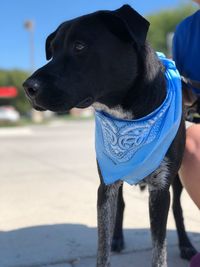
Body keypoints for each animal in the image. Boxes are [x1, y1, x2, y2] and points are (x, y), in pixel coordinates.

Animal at [23, 4, 197, 267]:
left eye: (79, 46)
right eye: (52, 51)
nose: (27, 88)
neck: (128, 117)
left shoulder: (160, 188)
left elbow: (159, 250)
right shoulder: (106, 185)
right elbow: (102, 246)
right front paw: (110, 242)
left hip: (175, 180)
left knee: (177, 208)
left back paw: (186, 245)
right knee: (121, 206)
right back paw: (117, 239)